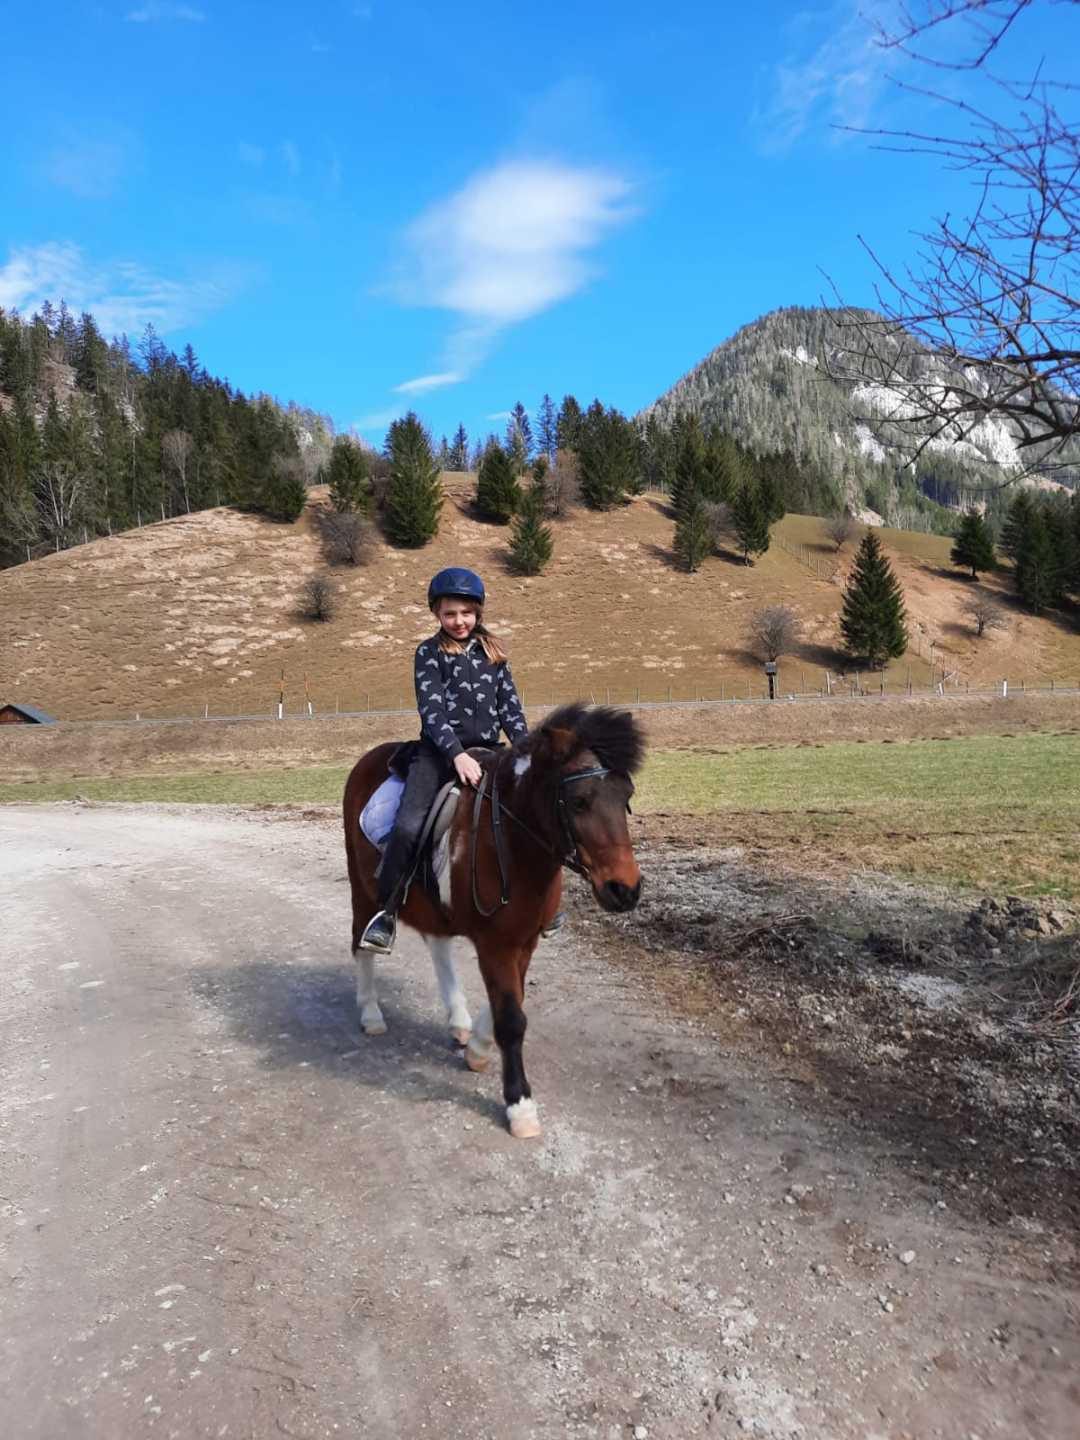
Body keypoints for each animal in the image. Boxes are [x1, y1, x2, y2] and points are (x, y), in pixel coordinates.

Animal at [344, 705, 642, 1134]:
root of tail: (368, 759)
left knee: (437, 945)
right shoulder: (495, 943)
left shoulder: (524, 939)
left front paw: (478, 1049)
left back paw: (458, 1021)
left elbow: (512, 999)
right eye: (579, 801)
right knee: (360, 944)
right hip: (362, 890)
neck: (515, 842)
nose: (625, 889)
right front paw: (520, 1105)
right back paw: (370, 1013)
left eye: (626, 795)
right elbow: (512, 1019)